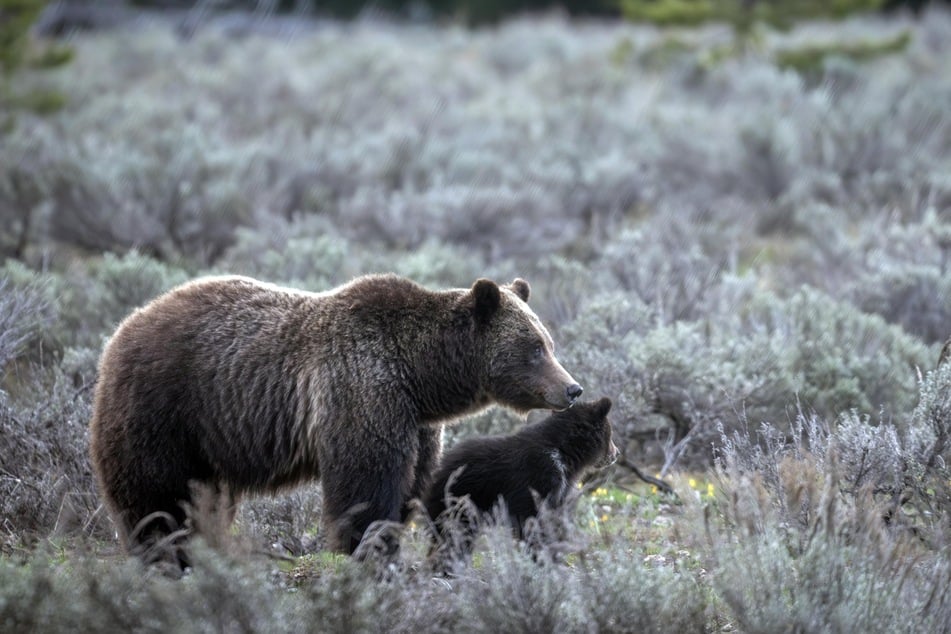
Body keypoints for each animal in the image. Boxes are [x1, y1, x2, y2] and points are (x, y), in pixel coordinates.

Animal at [89, 274, 580, 560]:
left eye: (548, 342)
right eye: (534, 348)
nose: (571, 389)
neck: (421, 375)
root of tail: (123, 328)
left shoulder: (416, 422)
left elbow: (411, 482)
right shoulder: (363, 388)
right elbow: (365, 480)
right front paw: (367, 547)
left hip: (207, 438)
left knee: (204, 497)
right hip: (165, 408)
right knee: (155, 493)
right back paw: (162, 550)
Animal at [422, 396, 616, 556]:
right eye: (610, 434)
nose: (616, 453)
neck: (564, 454)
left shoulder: (559, 489)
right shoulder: (538, 477)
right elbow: (533, 519)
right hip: (461, 499)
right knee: (453, 534)